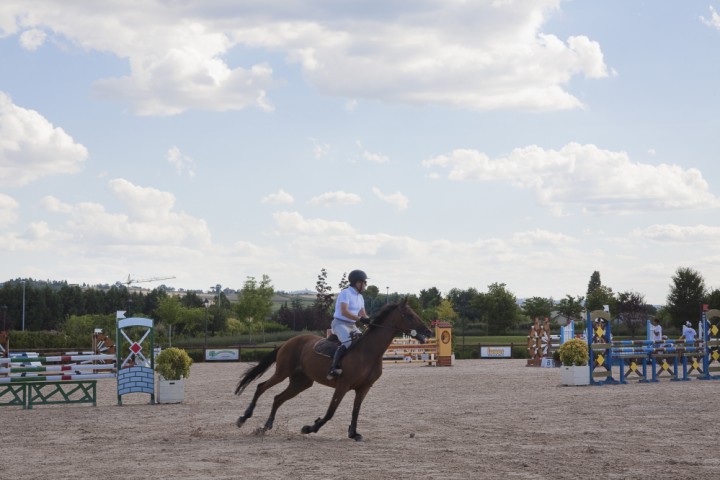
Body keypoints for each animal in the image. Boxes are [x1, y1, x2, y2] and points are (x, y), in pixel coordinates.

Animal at [235, 296, 434, 442]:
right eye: (409, 315)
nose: (429, 332)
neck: (368, 352)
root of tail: (288, 342)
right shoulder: (342, 385)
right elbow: (331, 412)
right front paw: (310, 427)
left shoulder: (363, 388)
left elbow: (356, 411)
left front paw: (354, 433)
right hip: (282, 372)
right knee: (261, 387)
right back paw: (243, 418)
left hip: (301, 382)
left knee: (277, 398)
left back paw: (265, 427)